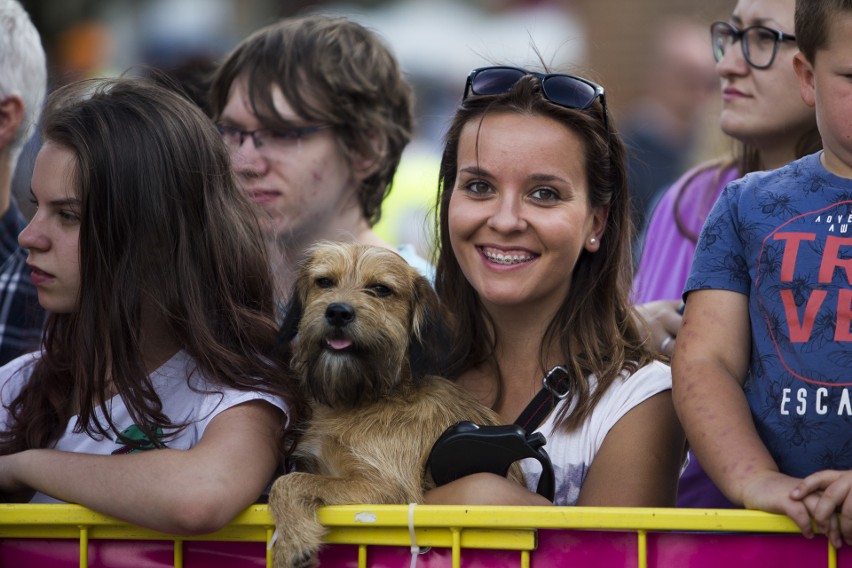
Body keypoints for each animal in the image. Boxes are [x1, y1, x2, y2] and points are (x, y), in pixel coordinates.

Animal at [270, 243, 520, 568]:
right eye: (324, 282)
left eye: (380, 289)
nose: (338, 311)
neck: (361, 398)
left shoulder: (388, 492)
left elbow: (288, 482)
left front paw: (290, 544)